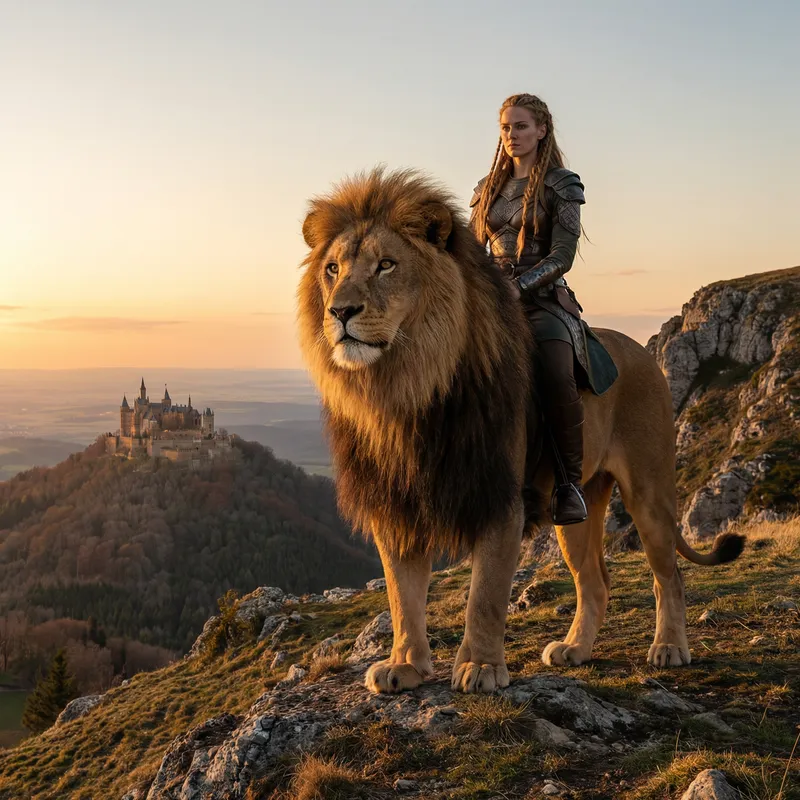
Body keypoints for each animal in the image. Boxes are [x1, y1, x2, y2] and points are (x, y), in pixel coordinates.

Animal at [297, 168, 745, 695]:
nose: (340, 312)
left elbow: (486, 594)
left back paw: (670, 648)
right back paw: (575, 649)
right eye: (332, 269)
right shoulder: (399, 505)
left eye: (386, 265)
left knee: (669, 573)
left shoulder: (500, 497)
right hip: (577, 506)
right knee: (595, 581)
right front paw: (404, 665)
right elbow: (402, 597)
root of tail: (643, 352)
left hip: (650, 493)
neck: (406, 390)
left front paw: (481, 667)